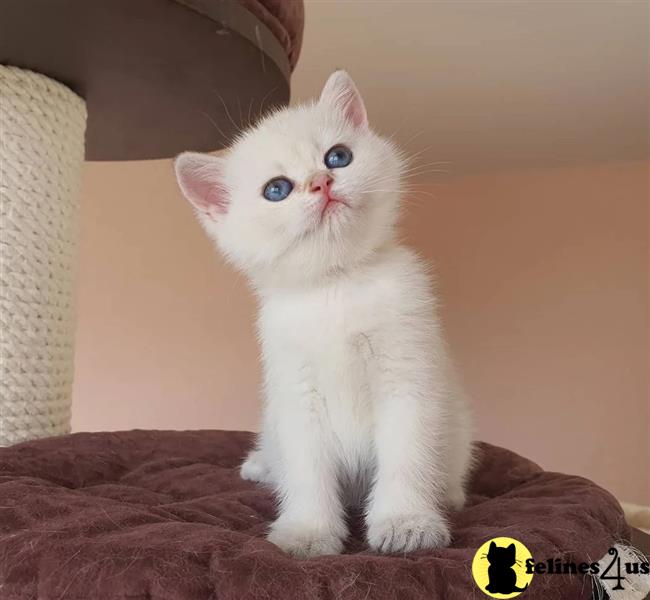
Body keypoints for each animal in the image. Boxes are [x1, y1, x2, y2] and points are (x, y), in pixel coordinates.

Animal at [175, 70, 474, 556]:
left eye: (338, 156)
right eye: (276, 189)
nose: (321, 182)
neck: (336, 287)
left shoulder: (407, 376)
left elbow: (406, 454)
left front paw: (406, 522)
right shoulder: (297, 393)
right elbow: (306, 472)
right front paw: (307, 532)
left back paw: (448, 494)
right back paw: (259, 466)